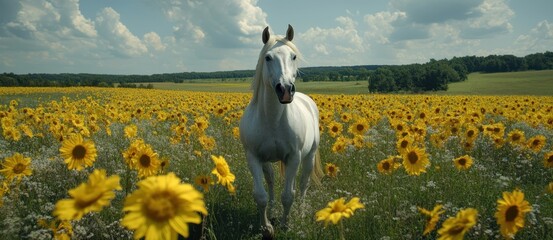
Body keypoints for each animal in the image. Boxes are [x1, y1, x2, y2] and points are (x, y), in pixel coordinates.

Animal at [238, 24, 324, 238]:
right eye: (268, 57)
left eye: (293, 56)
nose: (285, 90)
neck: (273, 120)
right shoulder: (254, 157)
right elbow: (260, 195)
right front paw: (267, 227)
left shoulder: (294, 156)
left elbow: (288, 195)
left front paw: (286, 224)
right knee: (271, 181)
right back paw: (273, 209)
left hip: (308, 156)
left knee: (302, 184)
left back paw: (300, 212)